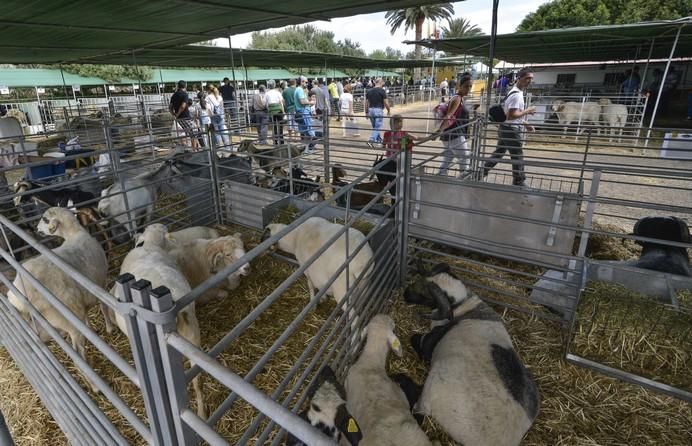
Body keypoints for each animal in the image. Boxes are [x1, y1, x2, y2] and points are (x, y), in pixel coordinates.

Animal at [6, 207, 111, 386]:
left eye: (45, 219)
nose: (36, 229)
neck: (75, 233)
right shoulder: (100, 284)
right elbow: (104, 307)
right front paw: (110, 328)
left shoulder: (85, 298)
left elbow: (87, 315)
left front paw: (91, 328)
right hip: (68, 319)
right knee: (78, 356)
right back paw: (94, 385)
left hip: (40, 325)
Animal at [406, 262, 540, 446]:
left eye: (425, 294)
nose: (404, 295)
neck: (465, 306)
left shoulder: (429, 342)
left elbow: (416, 339)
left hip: (432, 385)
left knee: (419, 408)